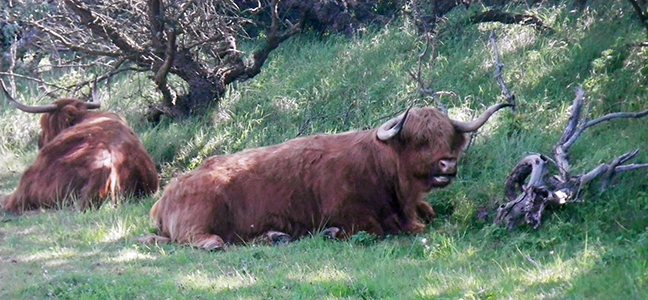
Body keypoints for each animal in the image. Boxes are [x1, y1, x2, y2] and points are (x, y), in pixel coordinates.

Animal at [143, 103, 512, 248]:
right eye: (420, 140)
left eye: (447, 137)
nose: (447, 165)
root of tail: (167, 195)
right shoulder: (353, 215)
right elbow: (375, 230)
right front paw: (331, 232)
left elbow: (429, 213)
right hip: (202, 214)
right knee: (199, 238)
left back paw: (276, 236)